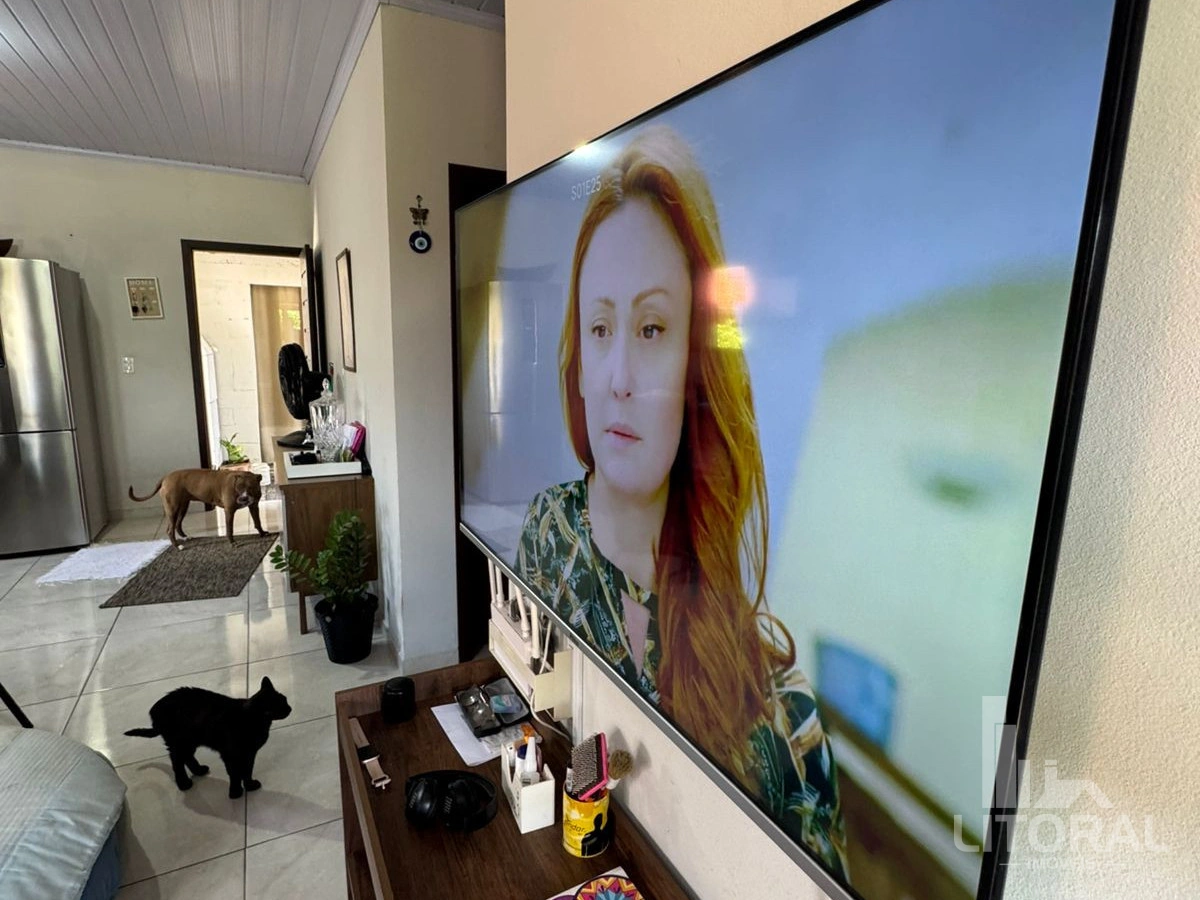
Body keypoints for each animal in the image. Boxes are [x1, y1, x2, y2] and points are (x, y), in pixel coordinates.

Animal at [125, 676, 292, 799]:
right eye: (280, 705)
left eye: (284, 699)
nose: (290, 708)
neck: (252, 719)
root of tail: (155, 709)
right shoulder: (229, 754)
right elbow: (234, 772)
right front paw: (235, 792)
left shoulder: (250, 753)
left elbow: (247, 770)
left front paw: (249, 785)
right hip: (180, 742)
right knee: (176, 761)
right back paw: (184, 783)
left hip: (190, 742)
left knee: (187, 757)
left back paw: (199, 770)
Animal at [128, 468, 267, 549]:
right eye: (238, 488)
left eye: (250, 487)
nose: (243, 499)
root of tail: (166, 478)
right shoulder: (229, 511)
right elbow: (230, 529)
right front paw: (232, 542)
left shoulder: (254, 506)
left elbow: (258, 521)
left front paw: (262, 533)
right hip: (172, 508)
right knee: (170, 529)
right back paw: (177, 546)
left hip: (183, 507)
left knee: (178, 524)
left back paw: (185, 537)